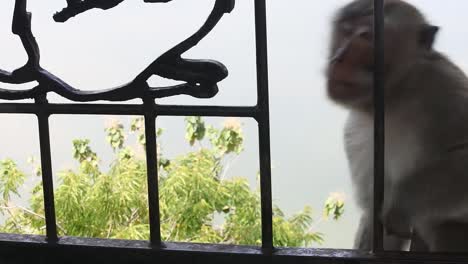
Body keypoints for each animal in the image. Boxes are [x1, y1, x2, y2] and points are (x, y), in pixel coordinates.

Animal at [326, 0, 468, 252]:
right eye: (345, 31)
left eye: (366, 36)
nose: (338, 58)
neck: (396, 95)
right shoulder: (356, 133)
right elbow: (375, 221)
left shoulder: (446, 87)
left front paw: (400, 205)